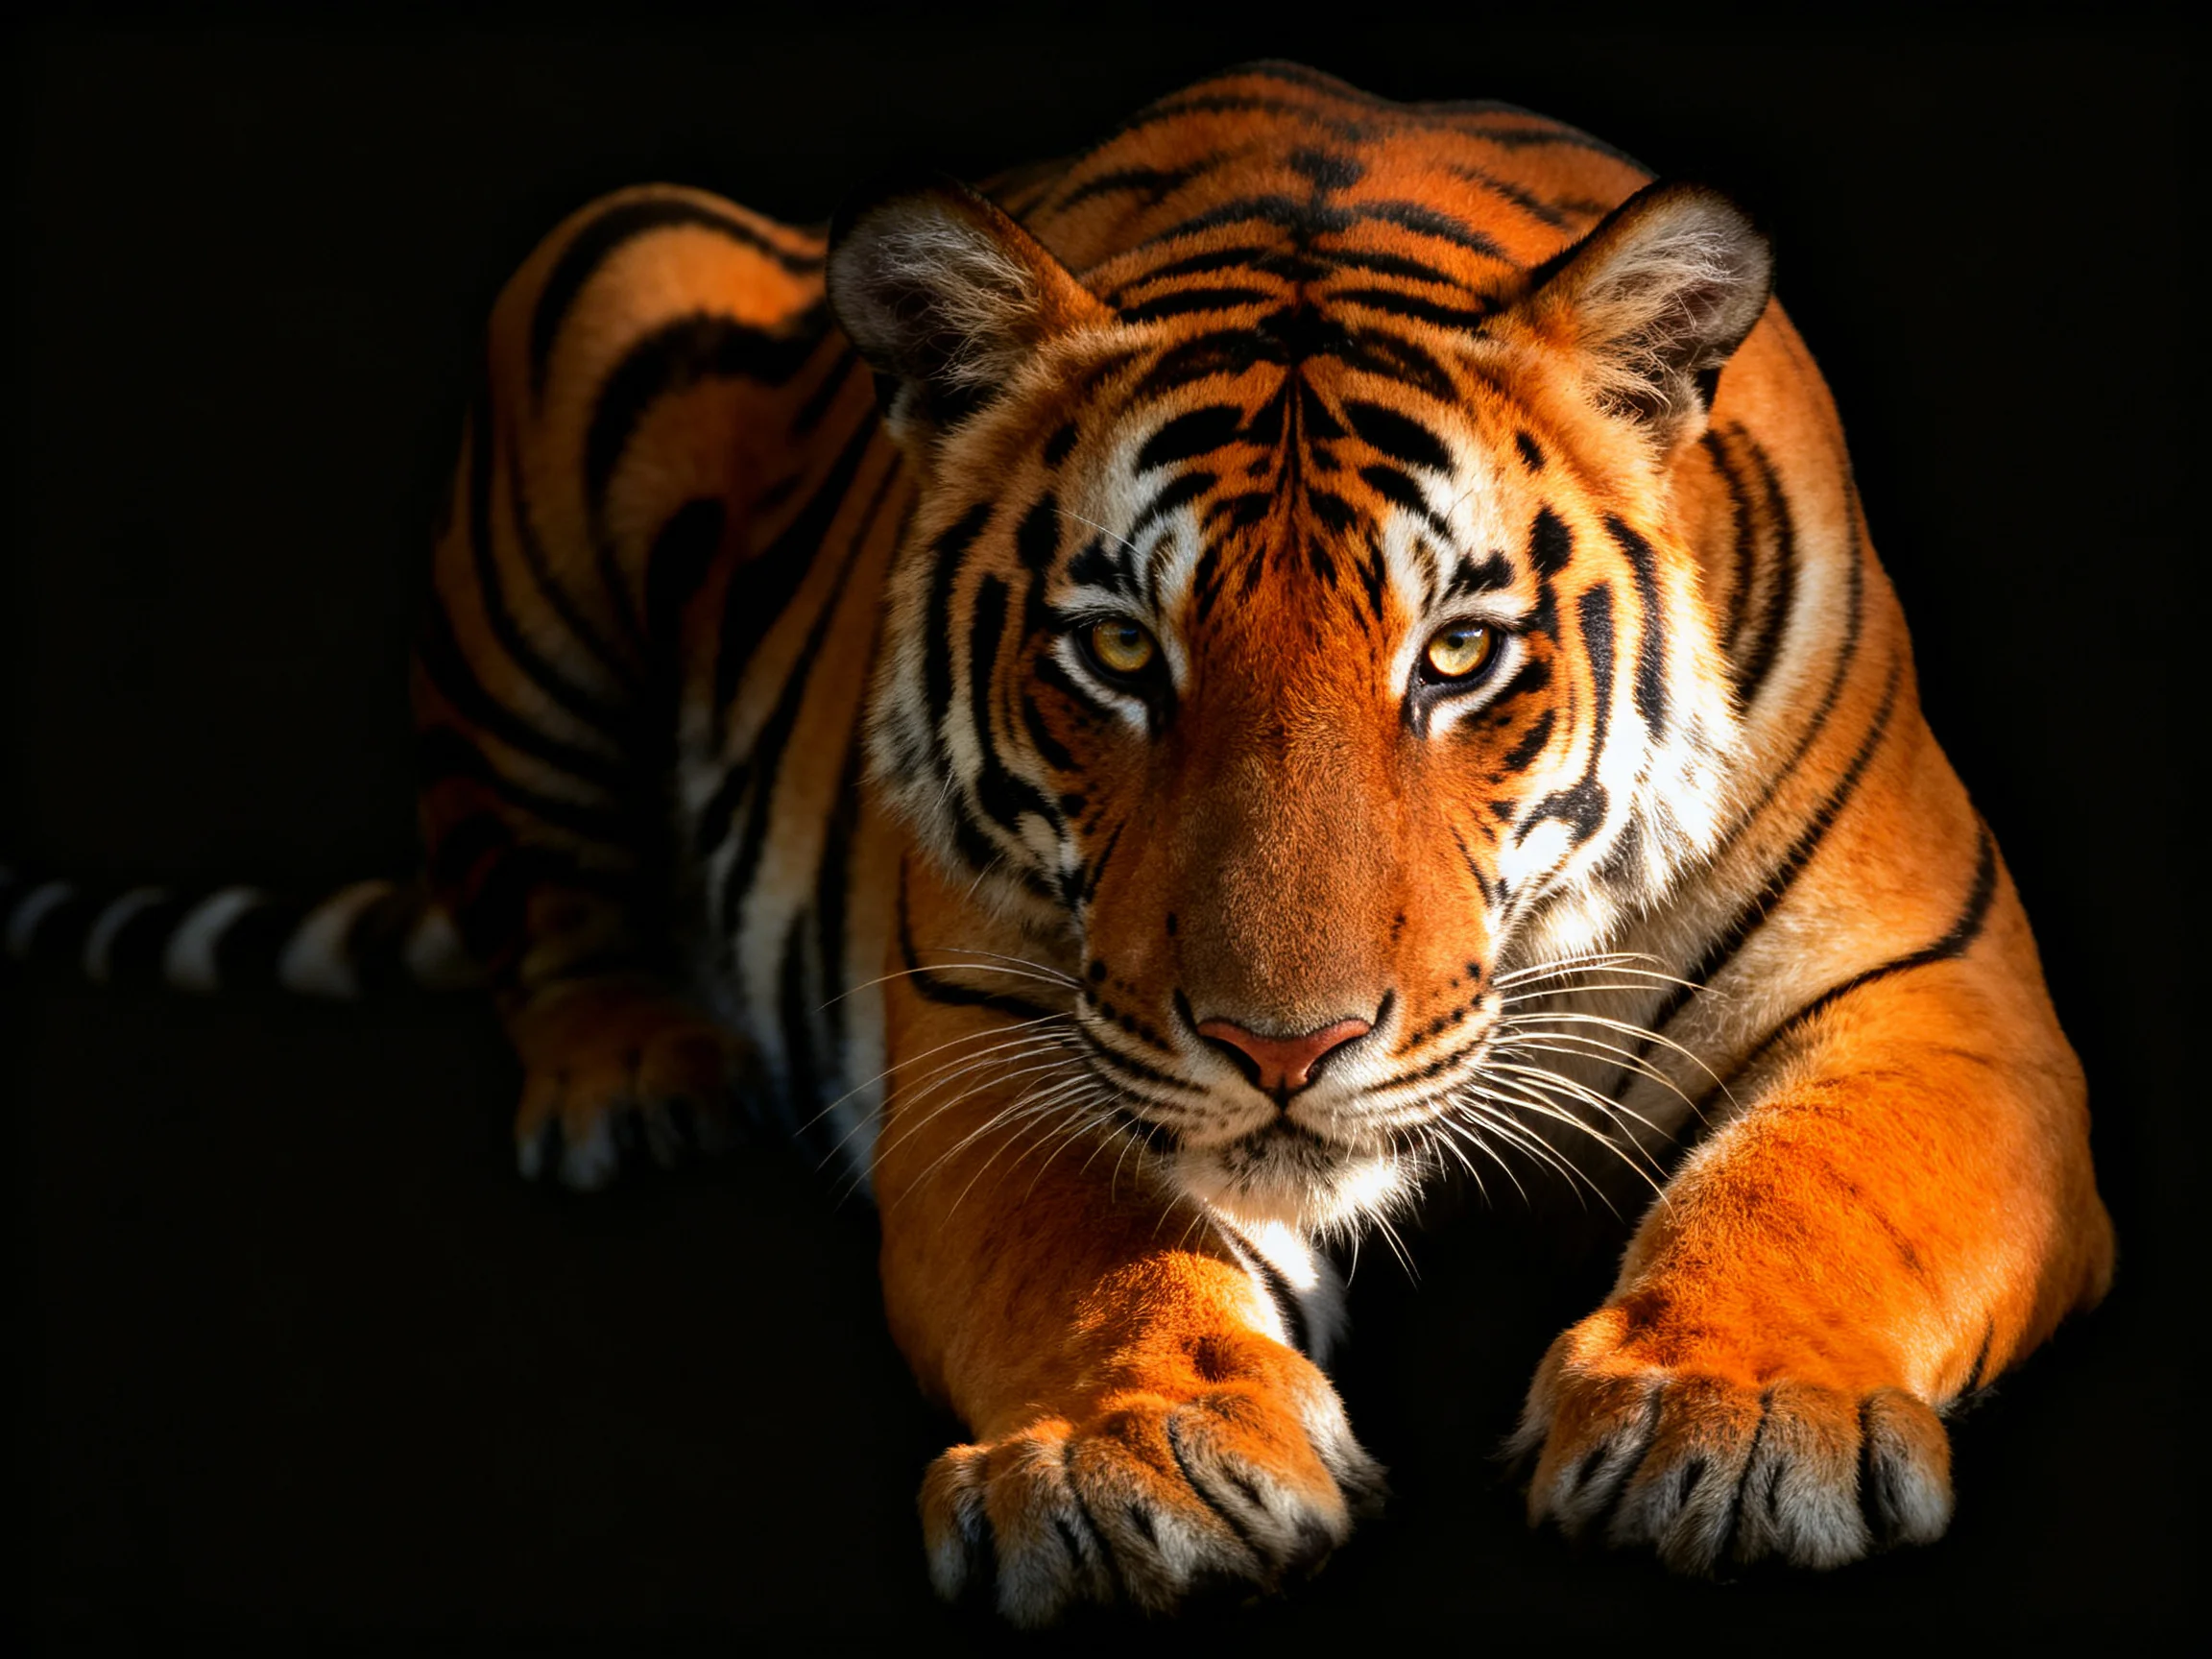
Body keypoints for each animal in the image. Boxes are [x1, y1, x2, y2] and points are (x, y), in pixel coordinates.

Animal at [1, 61, 2114, 1624]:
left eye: (1456, 653)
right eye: (1116, 651)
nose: (1284, 1047)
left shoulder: (1942, 1005)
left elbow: (1814, 1188)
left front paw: (1724, 1419)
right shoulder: (990, 1060)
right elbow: (1099, 1250)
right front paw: (1138, 1459)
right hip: (599, 285)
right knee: (533, 878)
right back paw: (630, 1076)